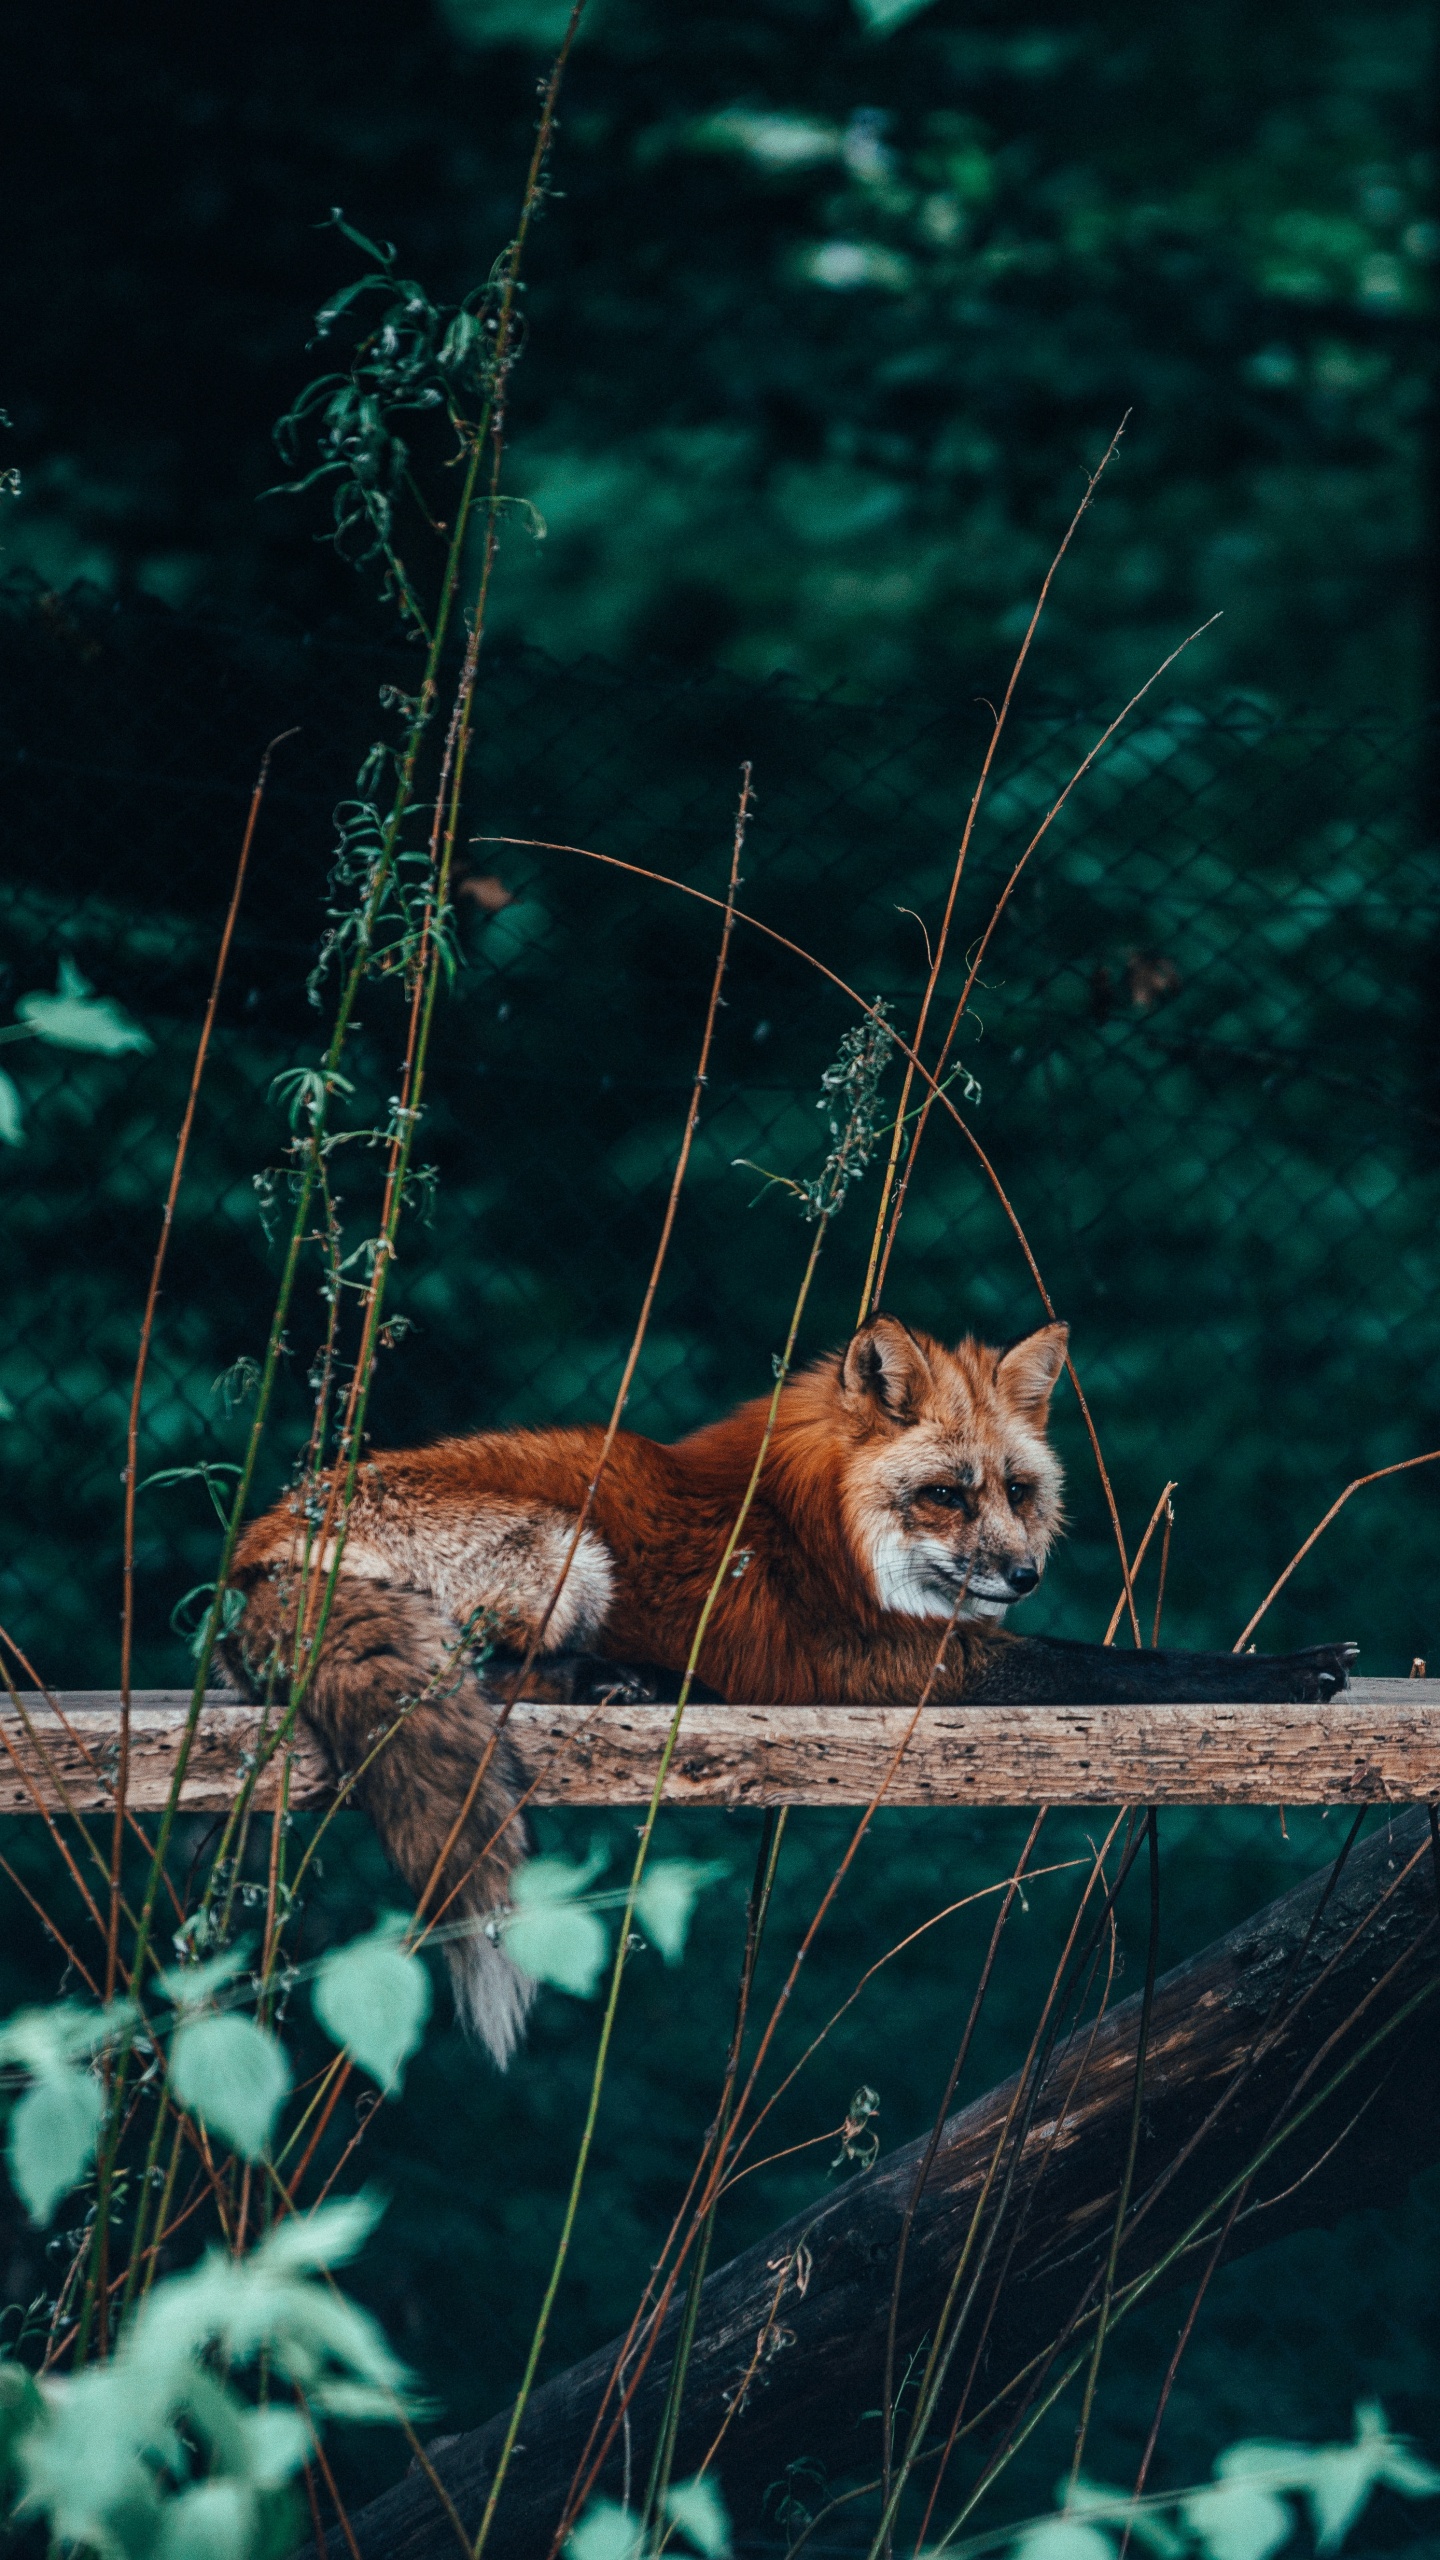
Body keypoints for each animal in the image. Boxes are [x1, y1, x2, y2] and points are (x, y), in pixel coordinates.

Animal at [224, 1314, 1356, 2065]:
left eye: (1017, 1490)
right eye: (945, 1495)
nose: (1024, 1574)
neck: (819, 1524)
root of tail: (255, 1553)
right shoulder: (904, 1667)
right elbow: (1138, 1661)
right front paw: (1293, 1669)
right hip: (570, 1554)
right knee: (494, 1676)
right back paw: (633, 1679)